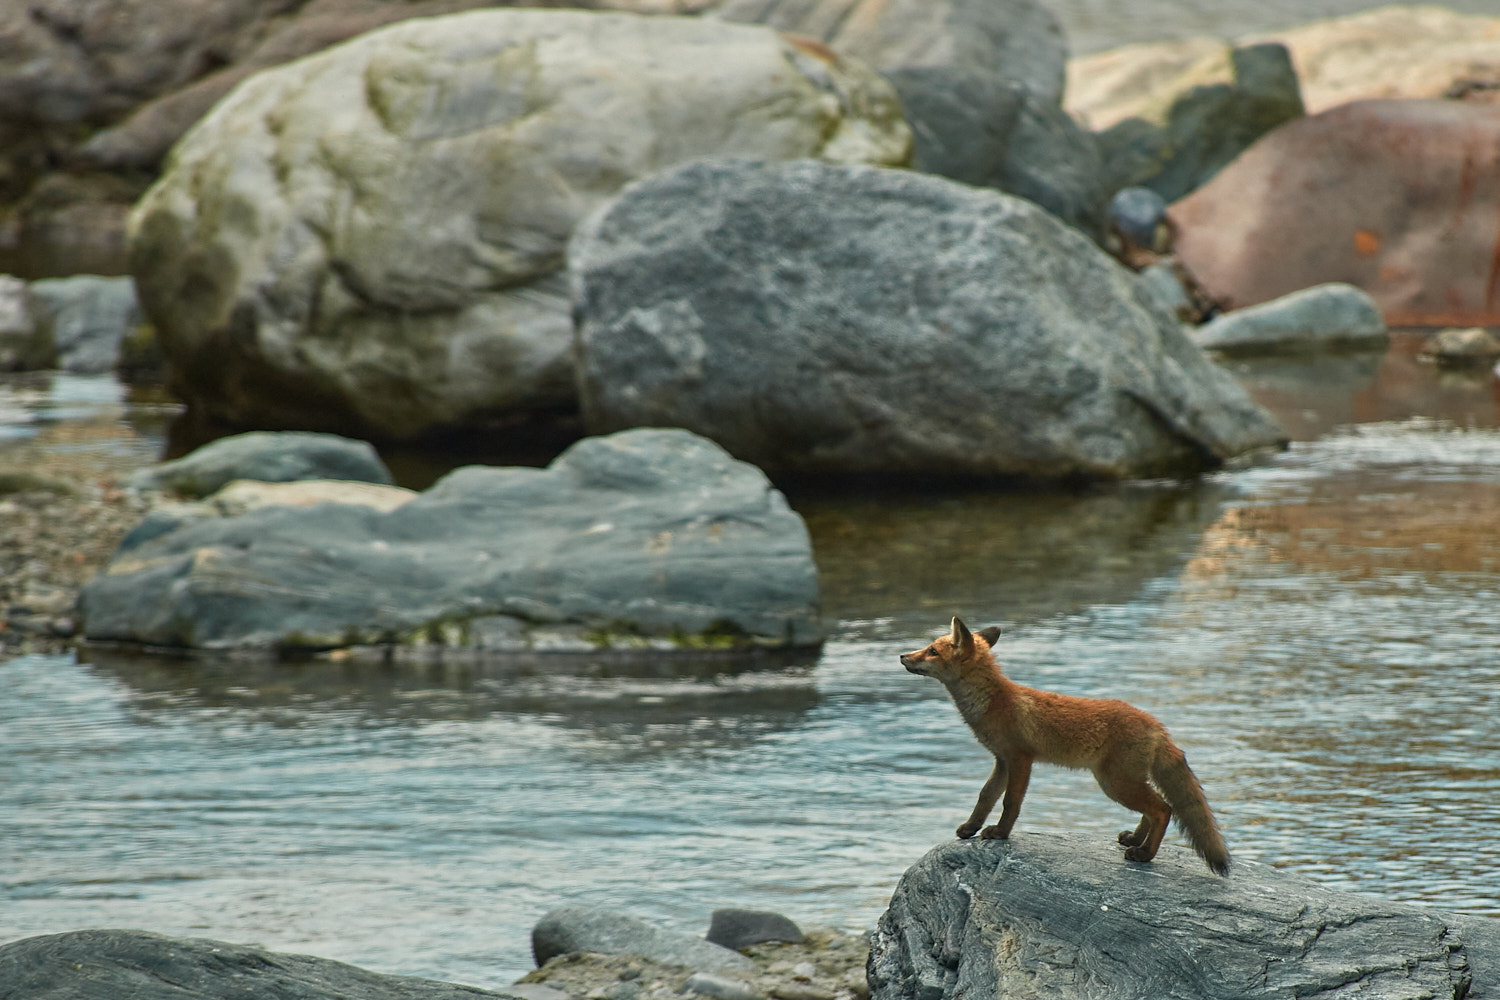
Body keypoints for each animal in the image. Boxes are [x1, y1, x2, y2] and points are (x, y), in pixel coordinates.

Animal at [900, 617, 1230, 876]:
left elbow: (1010, 803)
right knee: (1155, 809)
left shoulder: (1021, 759)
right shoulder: (1001, 760)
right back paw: (1136, 841)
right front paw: (971, 828)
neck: (993, 702)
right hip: (1123, 782)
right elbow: (985, 797)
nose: (902, 656)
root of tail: (1157, 725)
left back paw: (1145, 855)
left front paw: (1000, 834)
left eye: (932, 651)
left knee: (1163, 808)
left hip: (1115, 783)